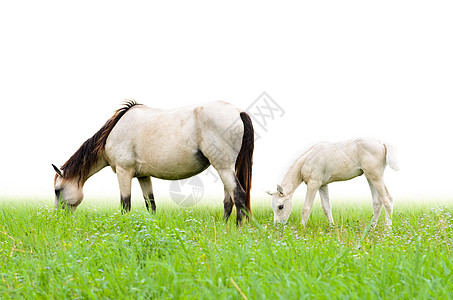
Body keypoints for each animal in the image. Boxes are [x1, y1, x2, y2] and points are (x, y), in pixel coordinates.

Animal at [52, 99, 254, 224]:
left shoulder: (124, 172)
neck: (113, 132)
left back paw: (236, 230)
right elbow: (151, 204)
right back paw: (223, 227)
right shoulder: (143, 176)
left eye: (57, 191)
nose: (58, 218)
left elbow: (125, 204)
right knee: (228, 200)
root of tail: (238, 112)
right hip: (224, 168)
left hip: (224, 167)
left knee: (238, 195)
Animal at [266, 138, 398, 227]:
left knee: (387, 199)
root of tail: (382, 143)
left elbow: (306, 208)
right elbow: (326, 207)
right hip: (370, 177)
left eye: (281, 206)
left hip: (376, 176)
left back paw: (387, 230)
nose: (277, 226)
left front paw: (302, 229)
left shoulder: (313, 184)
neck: (307, 160)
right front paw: (331, 228)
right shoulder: (322, 185)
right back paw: (371, 229)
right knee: (377, 202)